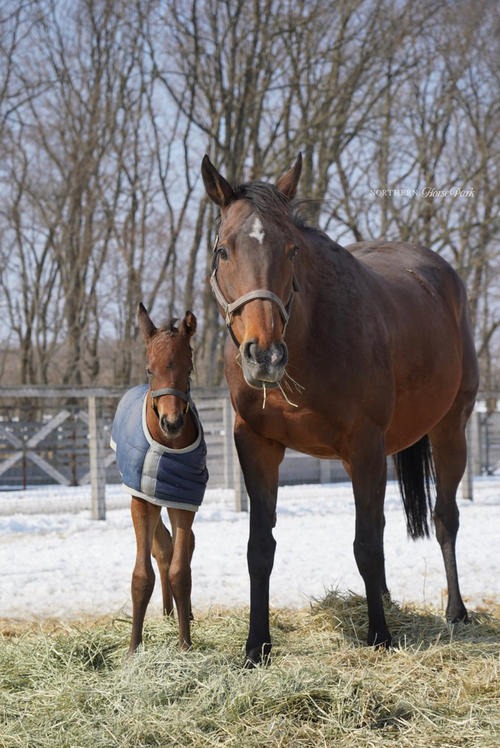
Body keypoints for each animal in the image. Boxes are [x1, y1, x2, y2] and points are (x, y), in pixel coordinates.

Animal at [111, 304, 208, 654]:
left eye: (188, 368)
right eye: (150, 370)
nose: (172, 422)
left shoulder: (184, 500)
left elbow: (181, 570)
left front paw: (185, 644)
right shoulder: (142, 499)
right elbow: (142, 574)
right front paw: (133, 649)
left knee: (181, 547)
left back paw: (182, 614)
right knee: (162, 548)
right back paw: (167, 614)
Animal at [201, 153, 479, 666]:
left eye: (291, 250)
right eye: (223, 250)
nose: (264, 355)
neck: (310, 338)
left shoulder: (363, 444)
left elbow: (366, 545)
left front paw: (380, 636)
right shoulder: (257, 444)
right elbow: (260, 548)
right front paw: (256, 646)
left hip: (450, 429)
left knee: (444, 518)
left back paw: (456, 611)